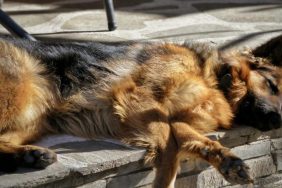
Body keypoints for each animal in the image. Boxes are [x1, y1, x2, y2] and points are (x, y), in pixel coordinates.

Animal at [0, 36, 280, 187]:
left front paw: (229, 161)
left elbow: (197, 141)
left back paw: (29, 156)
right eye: (272, 86)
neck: (214, 78)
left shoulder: (176, 120)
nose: (277, 120)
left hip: (35, 117)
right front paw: (164, 182)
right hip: (22, 94)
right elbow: (169, 149)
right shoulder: (143, 98)